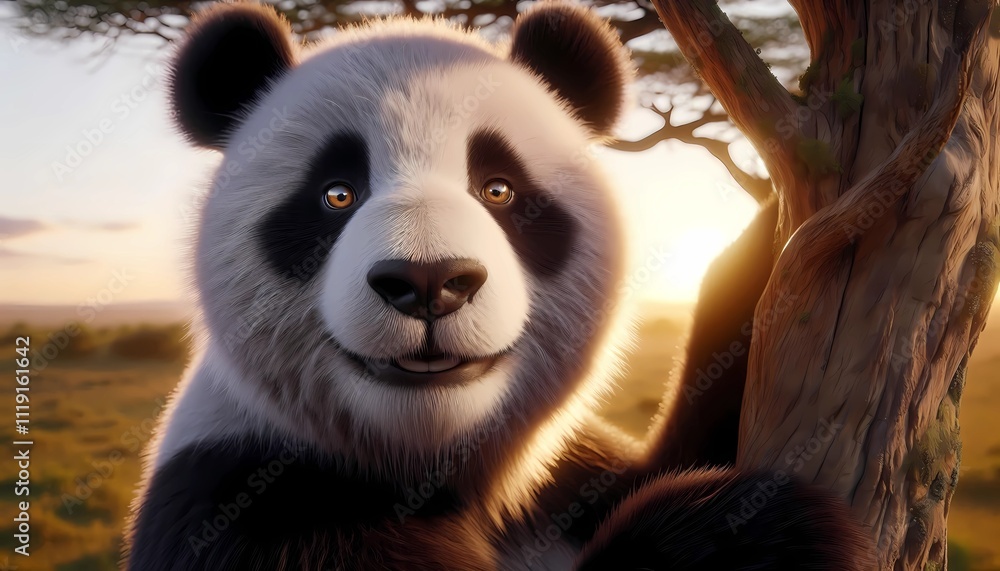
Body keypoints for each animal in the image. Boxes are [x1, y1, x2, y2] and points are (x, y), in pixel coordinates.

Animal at [125, 2, 875, 570]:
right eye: (337, 193)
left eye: (498, 188)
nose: (429, 281)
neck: (435, 470)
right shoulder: (241, 497)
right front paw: (757, 530)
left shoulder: (565, 481)